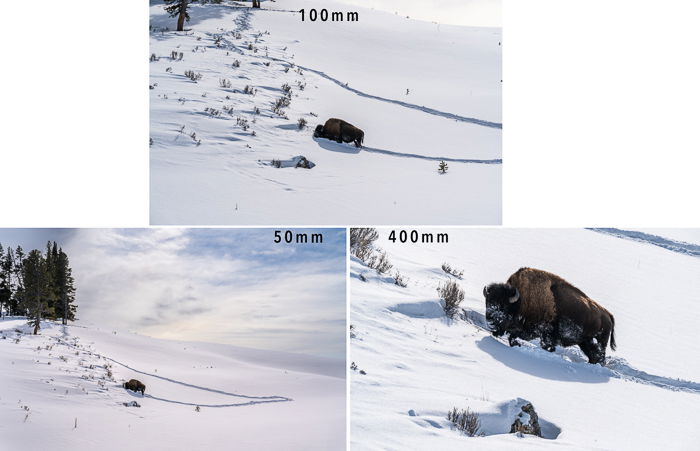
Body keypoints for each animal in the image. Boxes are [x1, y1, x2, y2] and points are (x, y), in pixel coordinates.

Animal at [484, 268, 616, 364]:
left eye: (503, 304)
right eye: (488, 301)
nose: (489, 319)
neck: (521, 300)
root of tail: (608, 314)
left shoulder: (540, 332)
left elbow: (542, 344)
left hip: (600, 341)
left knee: (600, 355)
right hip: (585, 341)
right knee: (593, 354)